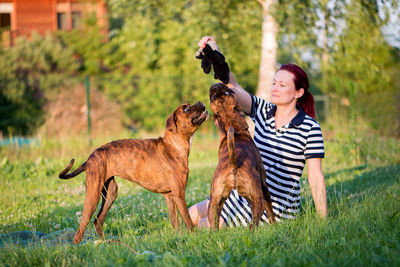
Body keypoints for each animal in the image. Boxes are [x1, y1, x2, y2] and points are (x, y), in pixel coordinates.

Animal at [60, 101, 209, 244]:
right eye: (185, 109)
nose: (200, 102)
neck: (174, 145)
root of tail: (90, 158)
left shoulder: (169, 196)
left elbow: (175, 222)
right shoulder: (179, 194)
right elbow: (188, 221)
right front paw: (194, 237)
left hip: (110, 193)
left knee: (98, 220)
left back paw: (106, 242)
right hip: (93, 194)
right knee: (82, 226)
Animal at [206, 84, 276, 230]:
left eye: (213, 97)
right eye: (229, 91)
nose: (216, 85)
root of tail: (234, 164)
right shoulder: (264, 186)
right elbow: (270, 209)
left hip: (214, 203)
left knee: (214, 225)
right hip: (257, 200)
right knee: (254, 223)